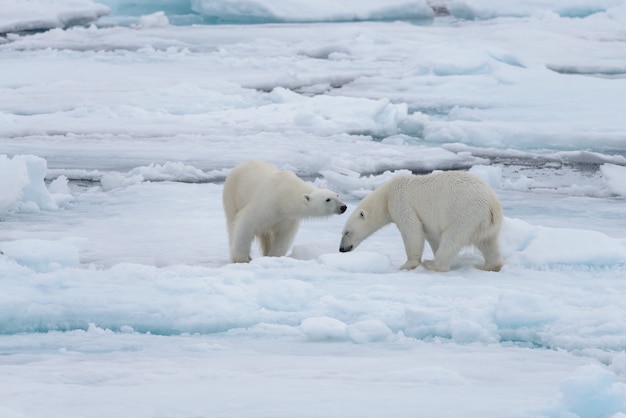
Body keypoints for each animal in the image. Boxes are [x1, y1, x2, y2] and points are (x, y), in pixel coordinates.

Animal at [336, 170, 502, 272]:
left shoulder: (401, 202)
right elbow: (431, 235)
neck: (386, 196)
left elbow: (412, 230)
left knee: (452, 239)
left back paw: (433, 264)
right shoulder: (428, 221)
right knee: (488, 243)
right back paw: (487, 265)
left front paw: (408, 264)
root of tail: (491, 202)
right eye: (342, 232)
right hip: (485, 223)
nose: (342, 249)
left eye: (347, 232)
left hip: (464, 214)